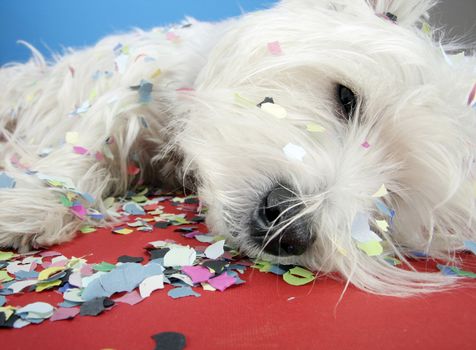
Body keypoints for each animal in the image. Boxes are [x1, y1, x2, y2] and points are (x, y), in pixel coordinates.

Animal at [0, 0, 476, 296]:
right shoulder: (143, 90)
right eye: (346, 98)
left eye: (392, 198)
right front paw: (31, 206)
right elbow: (91, 140)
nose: (287, 227)